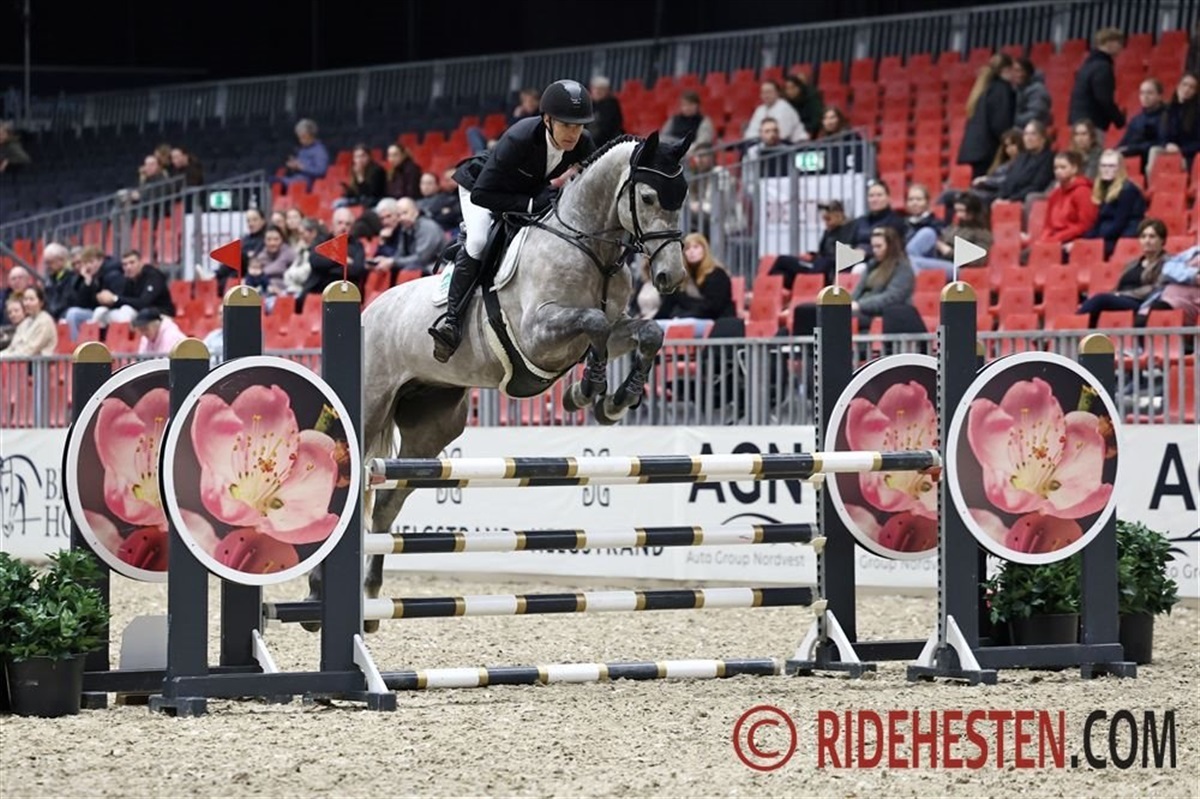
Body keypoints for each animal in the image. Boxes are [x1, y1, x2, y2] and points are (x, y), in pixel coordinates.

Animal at [305, 131, 694, 626]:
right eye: (647, 197)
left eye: (681, 198)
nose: (670, 277)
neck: (592, 249)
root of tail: (368, 309)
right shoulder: (537, 335)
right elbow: (594, 324)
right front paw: (586, 390)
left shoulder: (613, 326)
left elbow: (647, 331)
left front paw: (616, 398)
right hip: (370, 405)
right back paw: (317, 596)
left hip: (432, 427)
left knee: (388, 504)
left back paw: (372, 597)